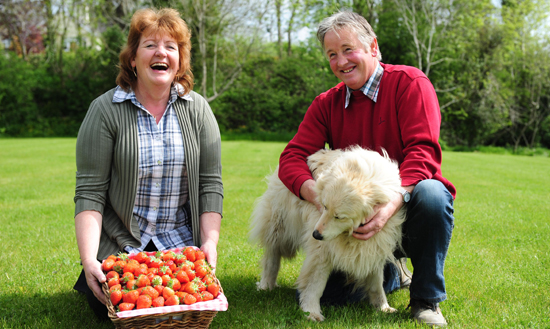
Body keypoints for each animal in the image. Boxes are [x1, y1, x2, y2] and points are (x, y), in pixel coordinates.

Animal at [250, 146, 406, 320]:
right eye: (324, 206)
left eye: (339, 217)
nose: (316, 235)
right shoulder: (321, 251)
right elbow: (314, 284)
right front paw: (311, 311)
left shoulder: (374, 245)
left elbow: (376, 283)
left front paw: (383, 307)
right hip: (279, 228)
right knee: (272, 256)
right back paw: (266, 284)